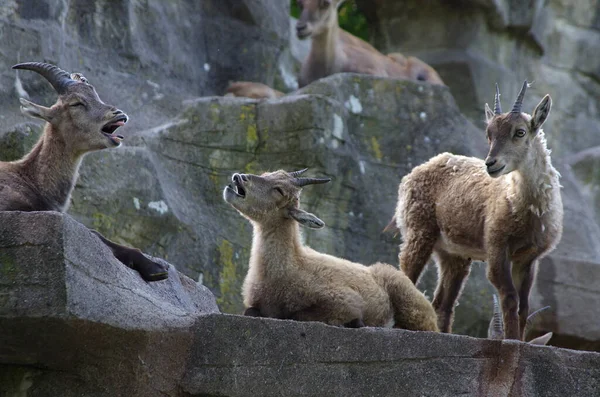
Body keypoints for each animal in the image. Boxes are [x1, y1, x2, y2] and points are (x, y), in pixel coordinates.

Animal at [4, 62, 169, 282]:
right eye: (76, 103)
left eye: (95, 95)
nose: (118, 114)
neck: (31, 179)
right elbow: (94, 233)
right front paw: (153, 267)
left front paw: (155, 267)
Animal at [223, 169, 438, 330]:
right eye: (266, 173)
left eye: (279, 190)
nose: (239, 177)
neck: (292, 264)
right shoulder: (255, 303)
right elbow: (250, 311)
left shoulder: (345, 301)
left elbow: (299, 315)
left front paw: (355, 322)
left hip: (408, 300)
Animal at [390, 82, 564, 338]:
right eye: (489, 134)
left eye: (520, 132)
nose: (491, 164)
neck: (526, 207)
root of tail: (414, 173)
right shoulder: (496, 247)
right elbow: (509, 298)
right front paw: (511, 341)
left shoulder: (529, 258)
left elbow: (523, 306)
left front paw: (518, 340)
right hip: (419, 231)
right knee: (407, 275)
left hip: (454, 255)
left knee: (443, 304)